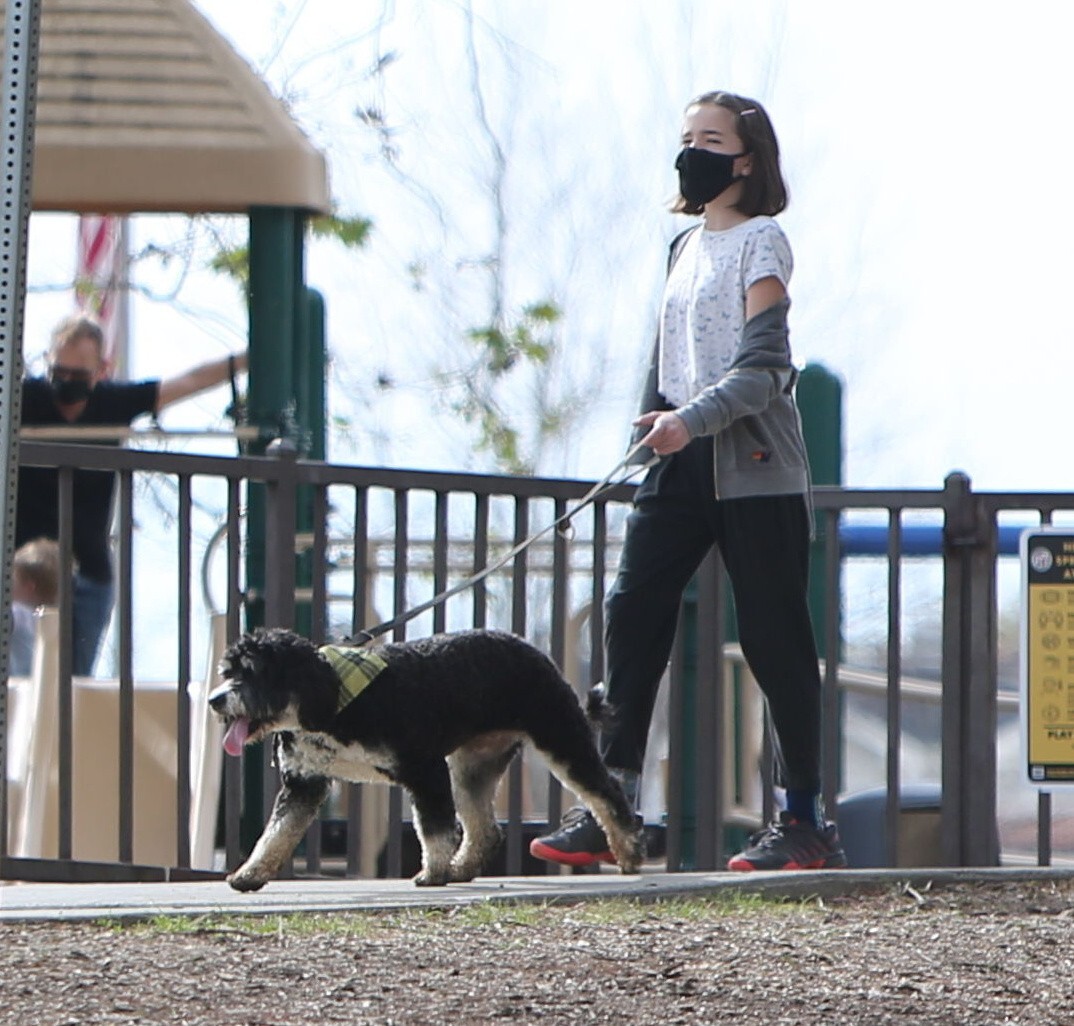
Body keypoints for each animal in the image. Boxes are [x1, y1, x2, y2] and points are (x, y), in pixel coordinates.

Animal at [208, 627, 644, 890]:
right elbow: (276, 833)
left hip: (560, 739)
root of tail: (533, 650)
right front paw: (250, 873)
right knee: (485, 830)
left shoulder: (425, 769)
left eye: (252, 672)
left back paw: (628, 852)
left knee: (607, 794)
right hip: (471, 768)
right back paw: (462, 868)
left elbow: (433, 829)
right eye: (228, 672)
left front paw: (432, 872)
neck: (331, 700)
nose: (215, 700)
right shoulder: (303, 782)